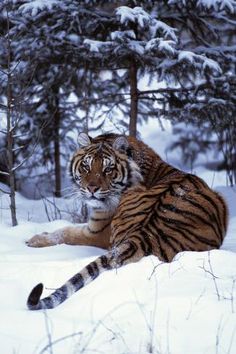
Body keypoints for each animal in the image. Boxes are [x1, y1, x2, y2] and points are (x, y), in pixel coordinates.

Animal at [26, 132, 229, 310]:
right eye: (86, 166)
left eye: (108, 169)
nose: (91, 188)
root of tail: (143, 235)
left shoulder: (97, 232)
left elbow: (66, 232)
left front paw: (34, 240)